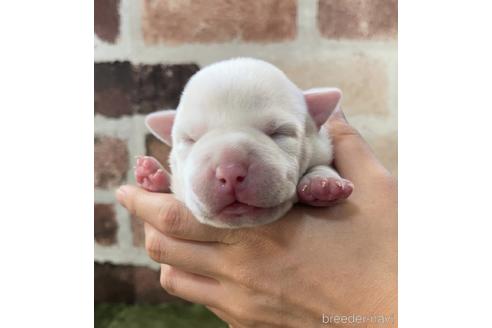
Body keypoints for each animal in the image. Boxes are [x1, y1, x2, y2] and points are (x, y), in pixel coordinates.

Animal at [133, 58, 352, 228]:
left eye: (279, 133)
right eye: (190, 139)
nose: (230, 171)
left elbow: (323, 164)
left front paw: (323, 183)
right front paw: (153, 175)